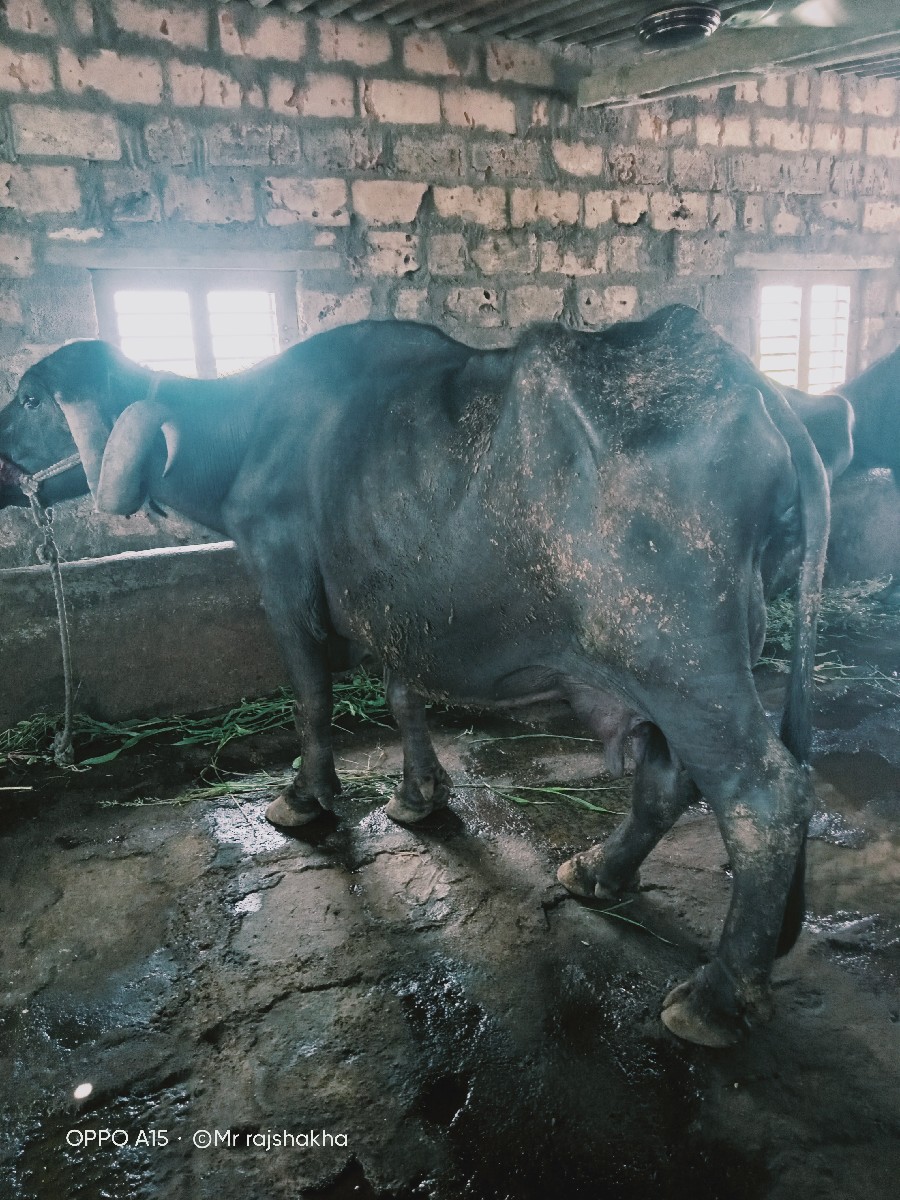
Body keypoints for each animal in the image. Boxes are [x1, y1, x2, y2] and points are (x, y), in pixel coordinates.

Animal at [0, 305, 829, 1047]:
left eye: (32, 398)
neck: (249, 434)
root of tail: (754, 389)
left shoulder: (283, 582)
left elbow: (311, 700)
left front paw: (304, 798)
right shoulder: (394, 610)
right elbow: (403, 697)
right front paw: (420, 793)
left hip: (682, 664)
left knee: (762, 798)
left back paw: (718, 996)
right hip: (675, 669)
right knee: (667, 779)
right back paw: (598, 870)